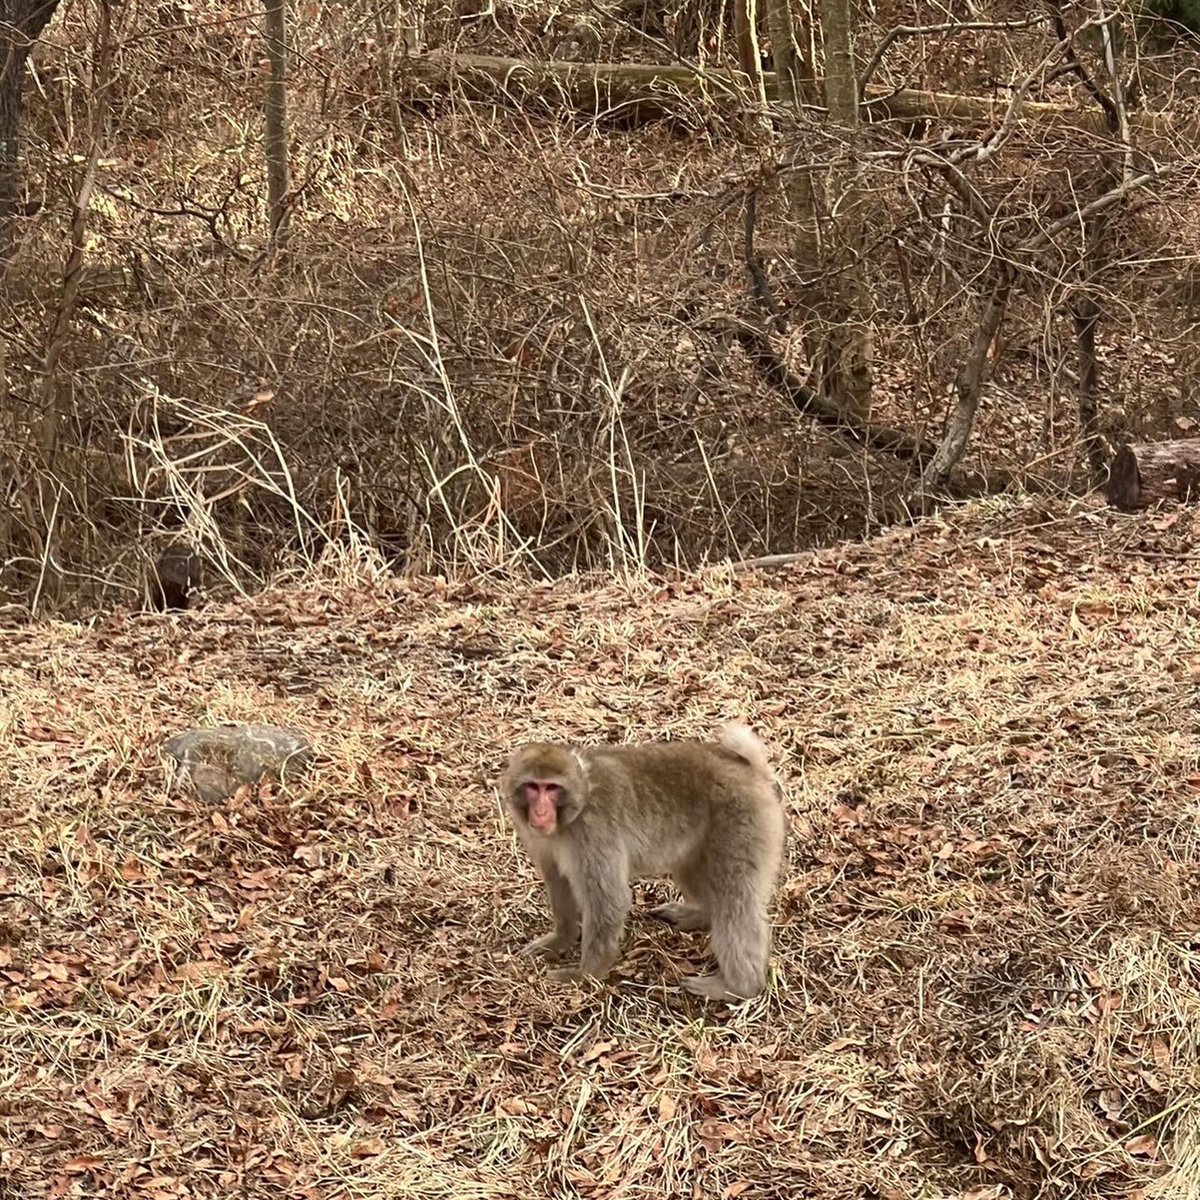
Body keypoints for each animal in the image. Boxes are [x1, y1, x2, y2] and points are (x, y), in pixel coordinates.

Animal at [498, 723, 786, 1001]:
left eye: (552, 788)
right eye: (533, 787)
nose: (540, 812)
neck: (576, 809)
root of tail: (747, 768)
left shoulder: (593, 834)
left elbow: (609, 901)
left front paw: (584, 975)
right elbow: (558, 880)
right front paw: (560, 939)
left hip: (742, 822)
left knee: (735, 899)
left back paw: (738, 988)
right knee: (693, 871)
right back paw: (701, 915)